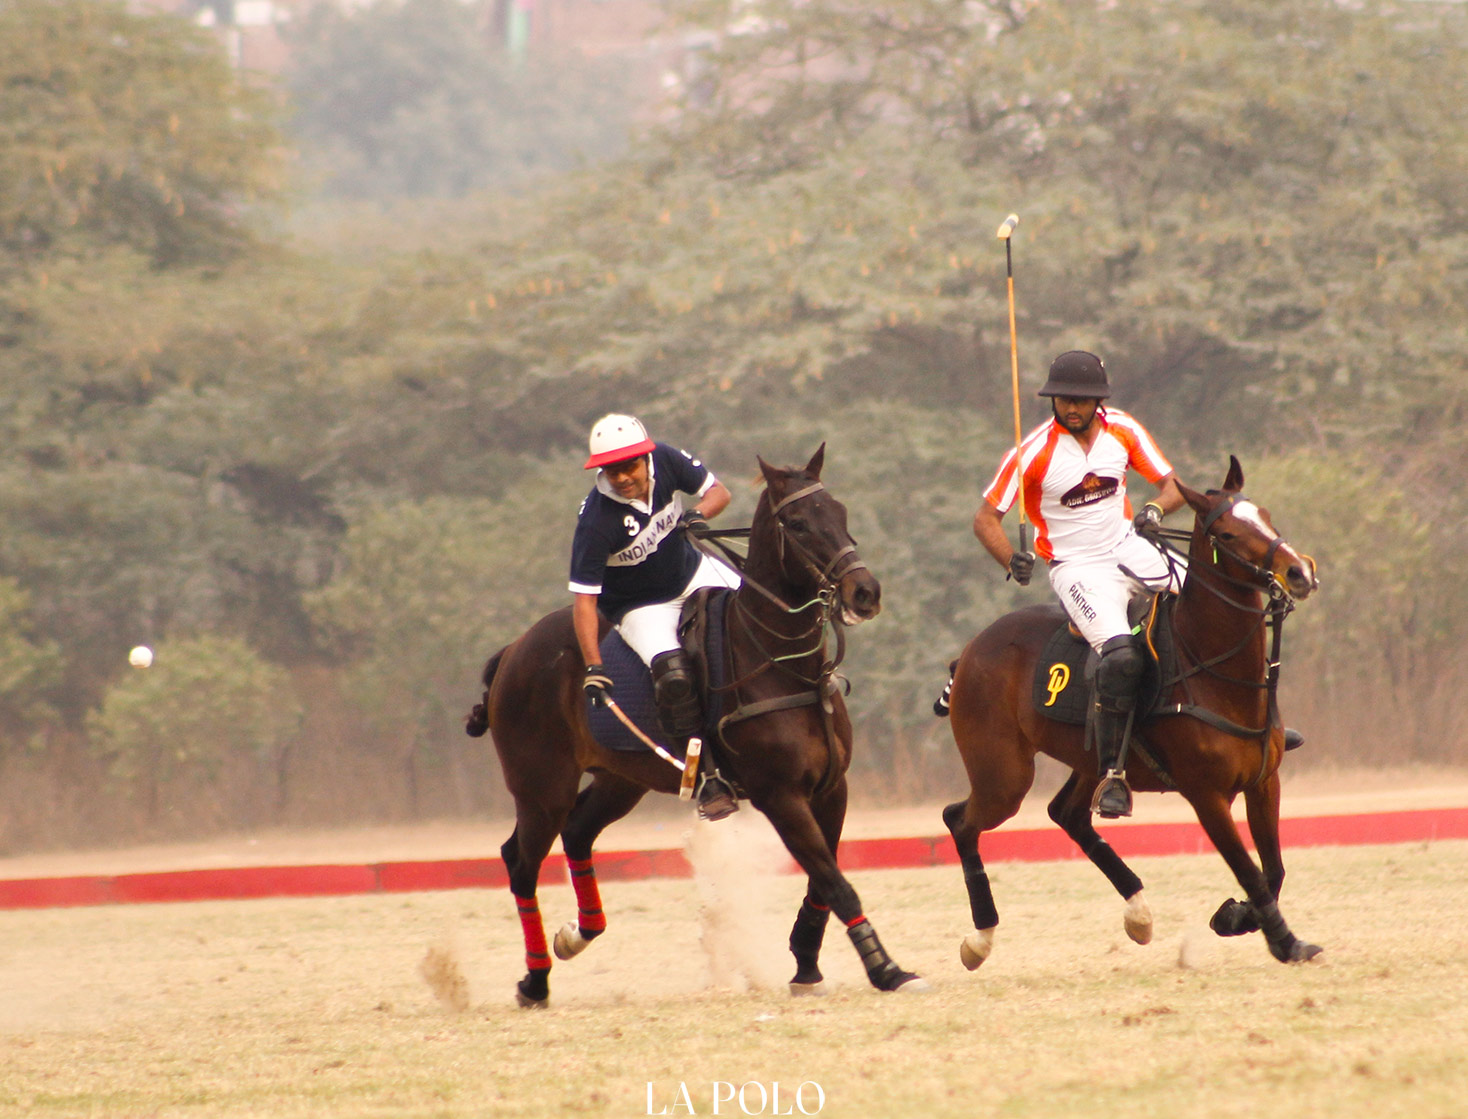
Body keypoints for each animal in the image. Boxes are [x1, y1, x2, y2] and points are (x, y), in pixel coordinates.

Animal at [469, 443, 921, 1004]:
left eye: (839, 511)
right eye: (797, 523)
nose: (865, 592)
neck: (780, 661)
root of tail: (511, 651)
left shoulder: (832, 787)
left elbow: (824, 879)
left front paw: (805, 961)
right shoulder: (780, 795)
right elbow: (836, 881)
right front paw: (886, 969)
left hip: (621, 779)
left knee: (576, 832)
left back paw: (577, 934)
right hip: (540, 787)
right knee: (521, 861)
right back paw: (534, 980)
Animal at [945, 458, 1327, 963]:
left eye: (1264, 515)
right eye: (1226, 534)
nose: (1299, 572)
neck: (1214, 668)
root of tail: (969, 651)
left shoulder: (1265, 781)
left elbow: (1273, 868)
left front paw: (1241, 917)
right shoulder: (1206, 795)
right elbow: (1249, 869)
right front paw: (1281, 940)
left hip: (1088, 759)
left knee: (1066, 813)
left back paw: (1138, 913)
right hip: (1003, 776)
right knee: (961, 820)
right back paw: (980, 937)